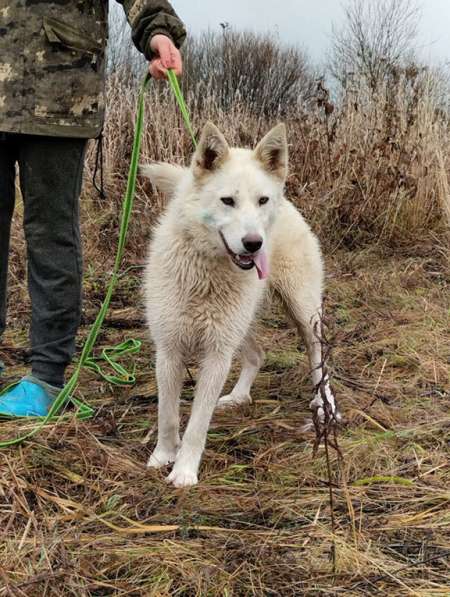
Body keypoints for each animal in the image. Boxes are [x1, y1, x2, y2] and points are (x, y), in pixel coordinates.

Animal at [141, 123, 338, 486]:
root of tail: (288, 202)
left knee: (319, 357)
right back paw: (238, 397)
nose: (254, 243)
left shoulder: (217, 356)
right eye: (227, 201)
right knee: (257, 354)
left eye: (261, 201)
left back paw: (325, 403)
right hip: (240, 325)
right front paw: (163, 455)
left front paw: (184, 471)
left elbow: (197, 424)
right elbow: (168, 415)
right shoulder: (169, 351)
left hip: (303, 313)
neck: (205, 270)